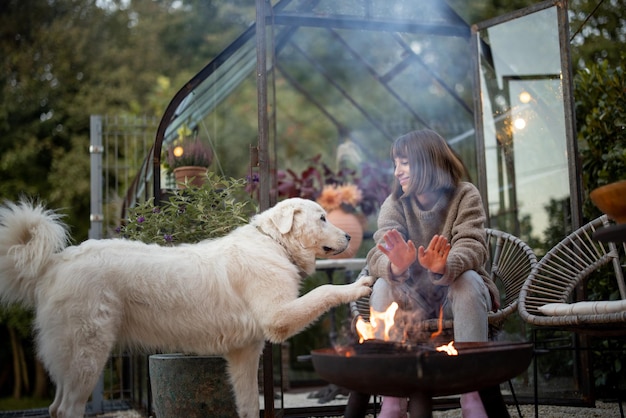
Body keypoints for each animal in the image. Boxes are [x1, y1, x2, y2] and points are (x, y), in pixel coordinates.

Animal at [0, 198, 370, 416]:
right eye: (322, 218)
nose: (350, 238)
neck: (274, 243)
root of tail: (54, 262)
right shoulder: (277, 317)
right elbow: (324, 290)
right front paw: (355, 286)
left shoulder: (244, 353)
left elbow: (249, 405)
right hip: (87, 357)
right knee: (66, 409)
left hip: (71, 362)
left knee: (54, 407)